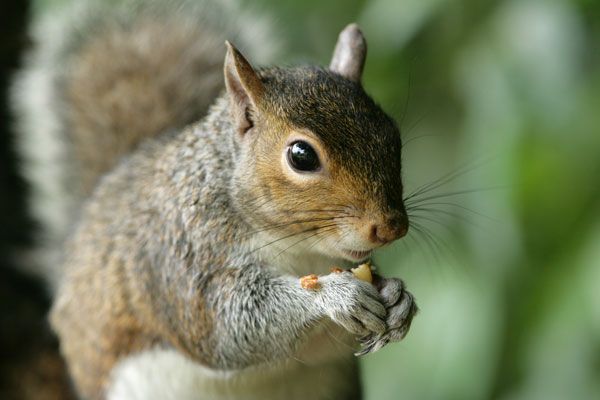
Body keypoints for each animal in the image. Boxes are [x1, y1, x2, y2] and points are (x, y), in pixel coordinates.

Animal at [12, 0, 418, 400]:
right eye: (301, 156)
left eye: (392, 135)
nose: (391, 227)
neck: (299, 247)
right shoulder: (179, 259)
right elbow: (228, 325)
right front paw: (336, 296)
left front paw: (397, 298)